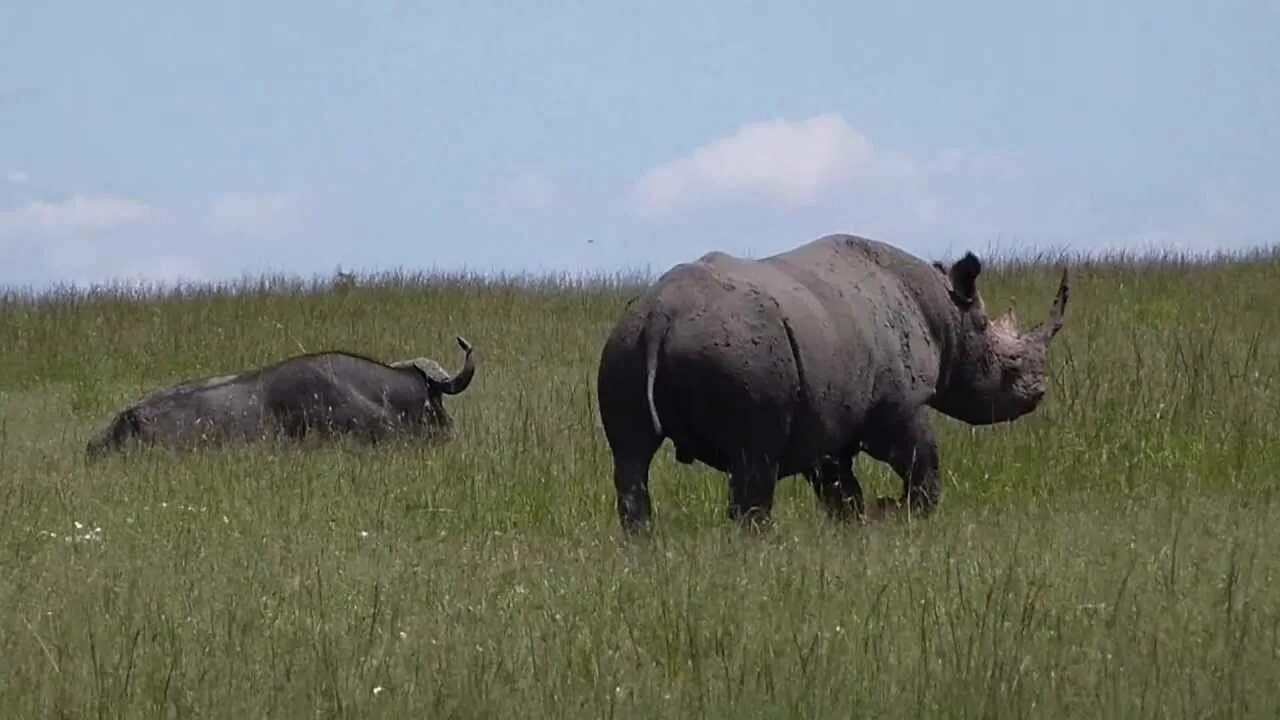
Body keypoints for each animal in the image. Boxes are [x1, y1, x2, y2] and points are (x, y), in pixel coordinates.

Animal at [599, 233, 1070, 530]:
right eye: (1007, 362)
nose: (1037, 394)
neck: (948, 316)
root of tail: (661, 316)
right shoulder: (898, 404)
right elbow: (921, 460)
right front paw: (906, 514)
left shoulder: (827, 415)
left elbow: (839, 486)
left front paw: (859, 522)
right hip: (738, 353)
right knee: (753, 458)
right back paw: (757, 542)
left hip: (623, 345)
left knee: (631, 457)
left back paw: (642, 540)